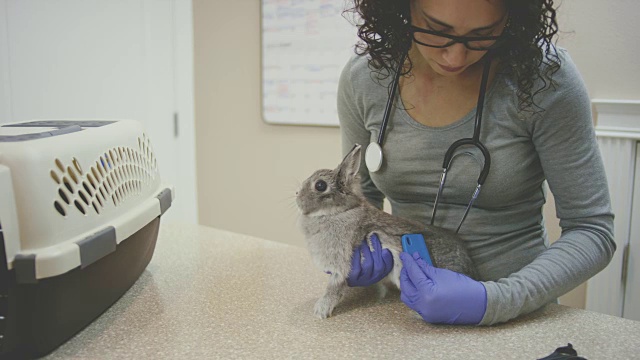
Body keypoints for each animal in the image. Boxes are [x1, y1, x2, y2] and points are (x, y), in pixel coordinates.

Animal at [296, 143, 476, 318]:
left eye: (320, 185)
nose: (297, 194)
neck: (339, 211)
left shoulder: (341, 265)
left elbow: (334, 286)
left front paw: (321, 310)